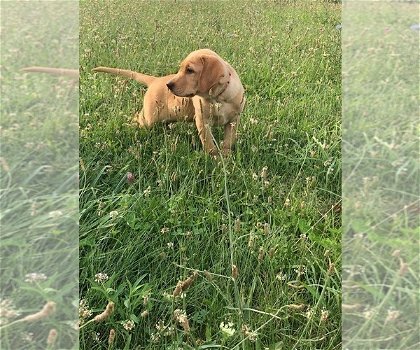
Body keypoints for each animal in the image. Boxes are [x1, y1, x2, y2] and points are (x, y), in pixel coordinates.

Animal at [93, 48, 244, 155]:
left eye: (190, 70)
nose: (169, 85)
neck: (218, 97)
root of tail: (154, 80)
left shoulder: (233, 121)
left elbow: (228, 142)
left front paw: (226, 157)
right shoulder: (202, 121)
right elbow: (209, 145)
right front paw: (215, 159)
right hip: (149, 118)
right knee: (137, 117)